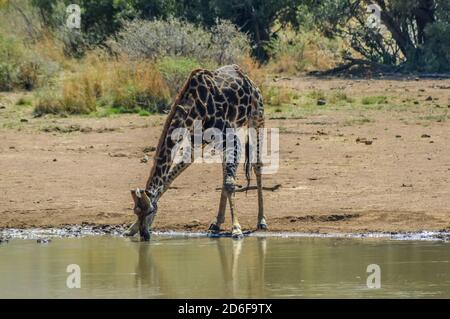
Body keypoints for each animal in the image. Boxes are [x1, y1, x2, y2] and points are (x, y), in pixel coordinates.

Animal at [124, 64, 268, 240]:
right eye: (136, 212)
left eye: (150, 211)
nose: (144, 235)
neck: (193, 107)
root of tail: (247, 78)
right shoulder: (196, 142)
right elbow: (168, 179)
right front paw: (131, 229)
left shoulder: (231, 139)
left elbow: (230, 183)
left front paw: (236, 228)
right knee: (225, 172)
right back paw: (216, 223)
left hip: (257, 117)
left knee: (257, 165)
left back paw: (261, 220)